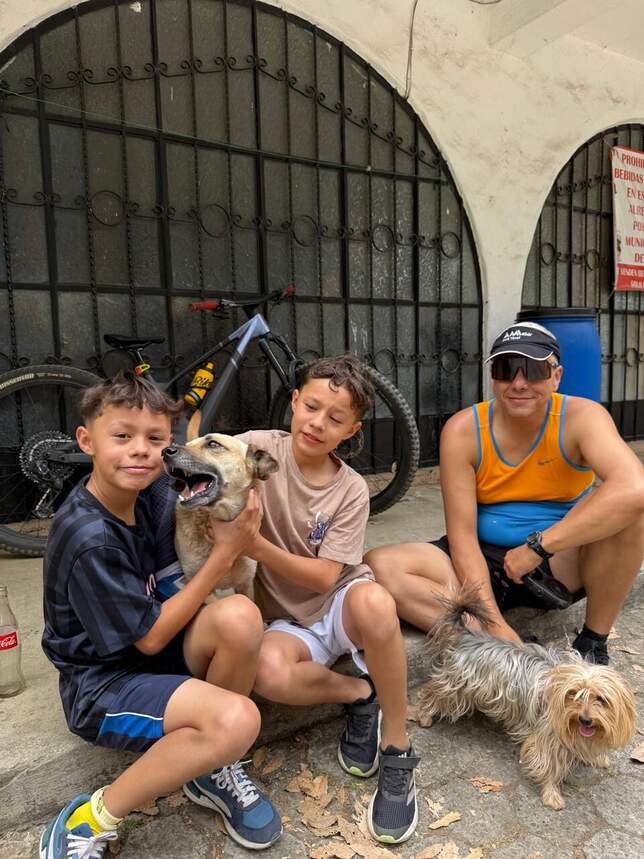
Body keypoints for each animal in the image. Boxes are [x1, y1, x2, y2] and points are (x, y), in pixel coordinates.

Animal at [416, 588, 636, 810]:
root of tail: (467, 636)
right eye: (573, 694)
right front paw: (551, 794)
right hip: (455, 688)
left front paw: (598, 758)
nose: (585, 720)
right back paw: (424, 715)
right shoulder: (548, 736)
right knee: (431, 694)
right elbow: (547, 763)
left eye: (601, 699)